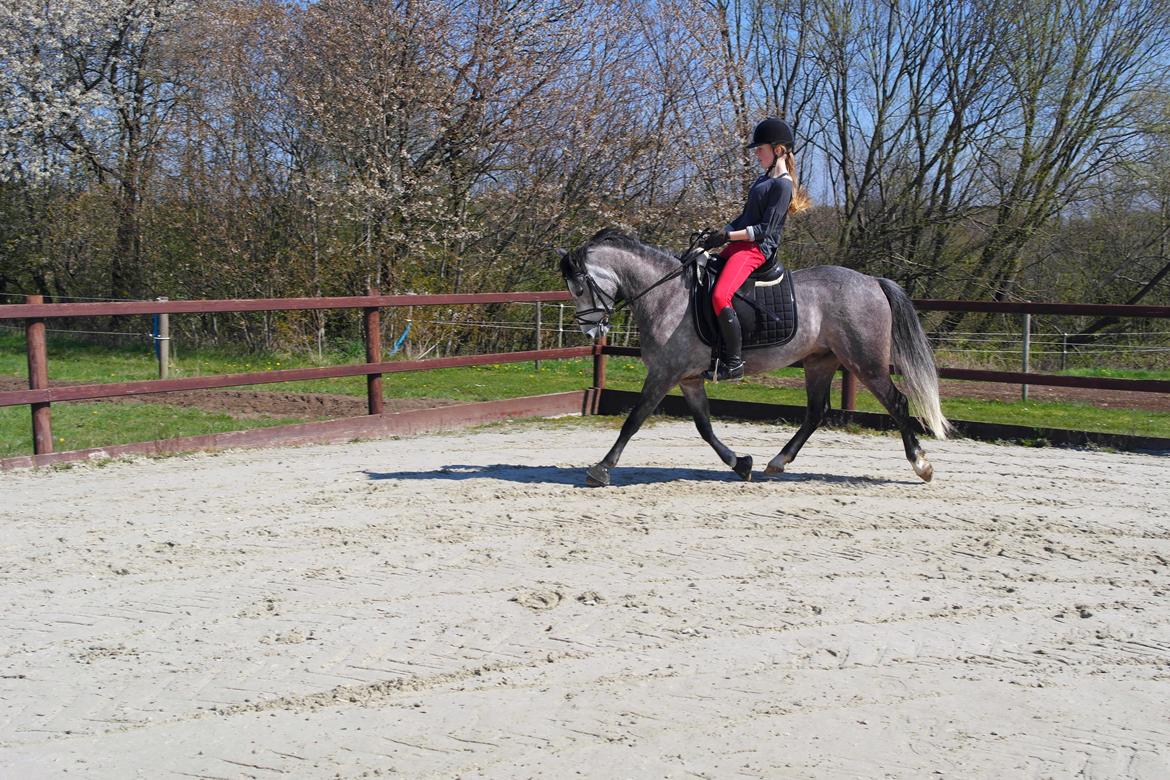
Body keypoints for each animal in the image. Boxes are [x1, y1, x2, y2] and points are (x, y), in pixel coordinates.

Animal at [557, 229, 951, 487]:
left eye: (579, 287)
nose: (591, 332)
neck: (666, 295)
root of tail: (871, 281)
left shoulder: (664, 374)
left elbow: (634, 420)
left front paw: (601, 468)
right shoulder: (688, 378)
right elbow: (704, 426)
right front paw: (740, 463)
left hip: (865, 362)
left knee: (897, 403)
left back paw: (921, 465)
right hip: (820, 361)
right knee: (816, 412)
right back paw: (777, 462)